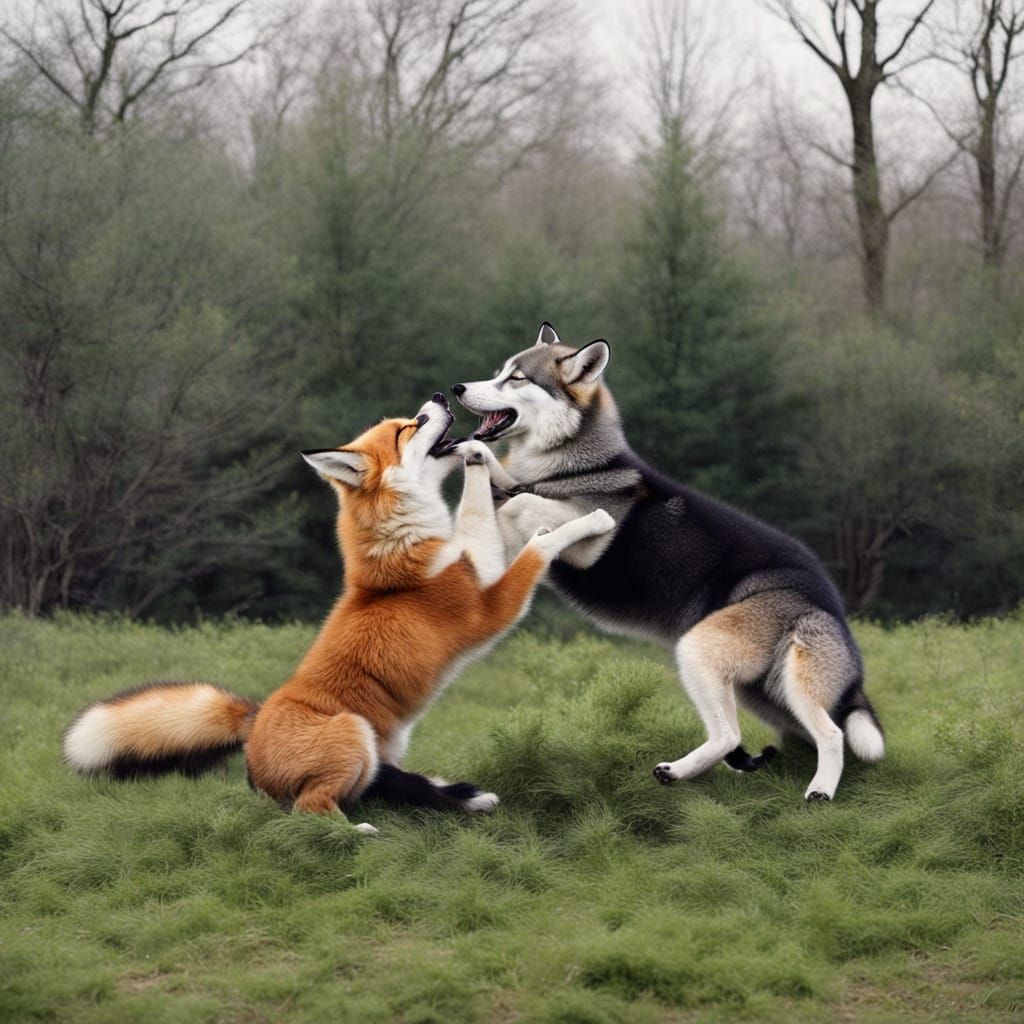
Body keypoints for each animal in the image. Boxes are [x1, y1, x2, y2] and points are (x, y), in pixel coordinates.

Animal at [63, 393, 615, 829]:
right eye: (408, 427)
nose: (442, 394)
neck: (404, 554)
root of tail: (253, 723)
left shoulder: (481, 559)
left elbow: (491, 513)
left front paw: (479, 454)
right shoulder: (489, 605)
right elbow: (535, 548)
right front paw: (589, 522)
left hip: (372, 753)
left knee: (386, 788)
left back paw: (458, 798)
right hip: (352, 736)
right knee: (312, 809)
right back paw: (356, 834)